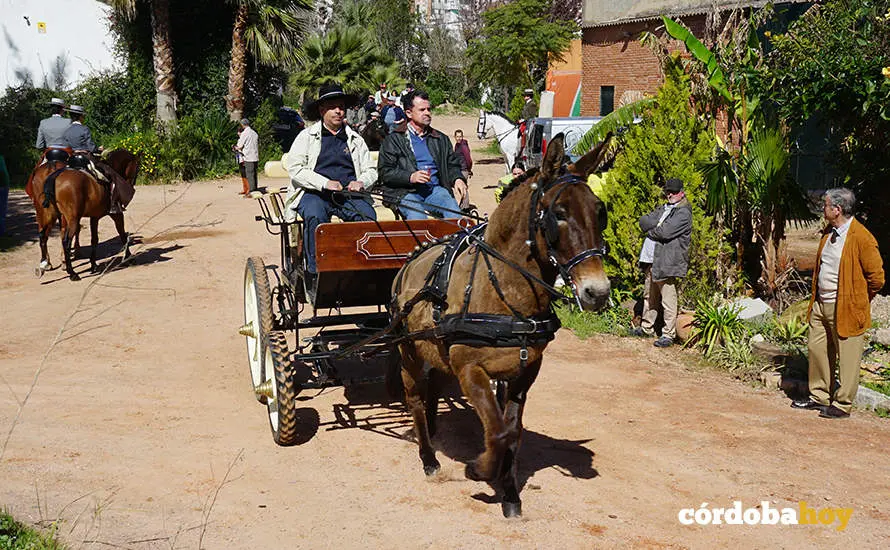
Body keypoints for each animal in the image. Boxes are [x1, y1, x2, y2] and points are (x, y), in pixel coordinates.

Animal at [35, 148, 140, 281]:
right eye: (137, 168)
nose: (132, 183)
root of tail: (54, 176)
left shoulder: (94, 217)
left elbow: (94, 239)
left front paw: (93, 264)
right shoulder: (116, 214)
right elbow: (122, 235)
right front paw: (128, 257)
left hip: (48, 215)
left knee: (43, 235)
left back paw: (44, 264)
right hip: (72, 219)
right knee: (66, 241)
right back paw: (72, 272)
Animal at [390, 133, 612, 517]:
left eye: (600, 212)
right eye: (558, 214)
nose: (597, 292)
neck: (502, 290)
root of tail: (411, 258)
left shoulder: (525, 372)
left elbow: (513, 432)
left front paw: (510, 492)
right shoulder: (470, 370)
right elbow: (496, 431)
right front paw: (479, 469)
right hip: (409, 352)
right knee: (415, 397)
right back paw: (428, 456)